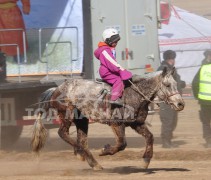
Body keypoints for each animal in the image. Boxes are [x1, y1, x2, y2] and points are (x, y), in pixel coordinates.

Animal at [30, 67, 185, 170]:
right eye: (167, 85)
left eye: (176, 84)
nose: (180, 104)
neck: (132, 94)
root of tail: (56, 89)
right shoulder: (116, 124)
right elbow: (121, 144)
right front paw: (105, 150)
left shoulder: (136, 123)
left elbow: (150, 137)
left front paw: (146, 160)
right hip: (67, 115)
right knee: (63, 133)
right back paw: (80, 152)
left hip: (82, 121)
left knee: (82, 140)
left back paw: (94, 163)